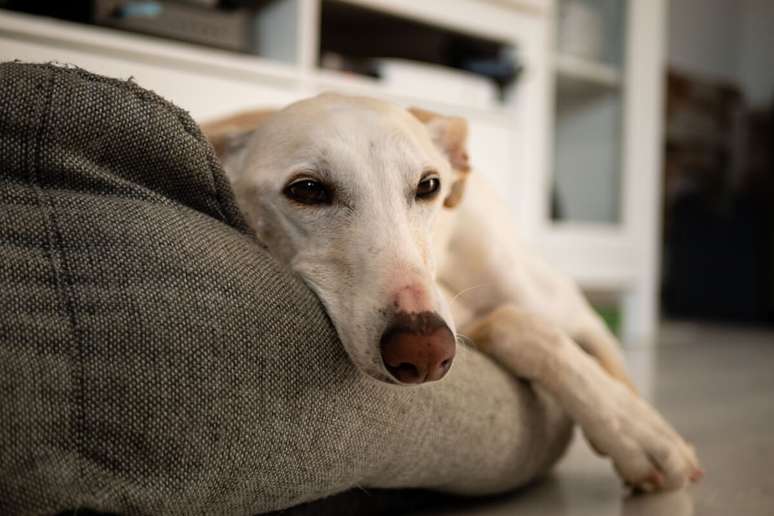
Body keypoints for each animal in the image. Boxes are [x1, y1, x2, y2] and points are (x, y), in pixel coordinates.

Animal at [203, 92, 708, 492]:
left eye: (429, 185)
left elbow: (597, 361)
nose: (425, 351)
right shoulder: (457, 318)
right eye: (307, 190)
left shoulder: (560, 315)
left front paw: (641, 432)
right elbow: (515, 326)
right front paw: (635, 433)